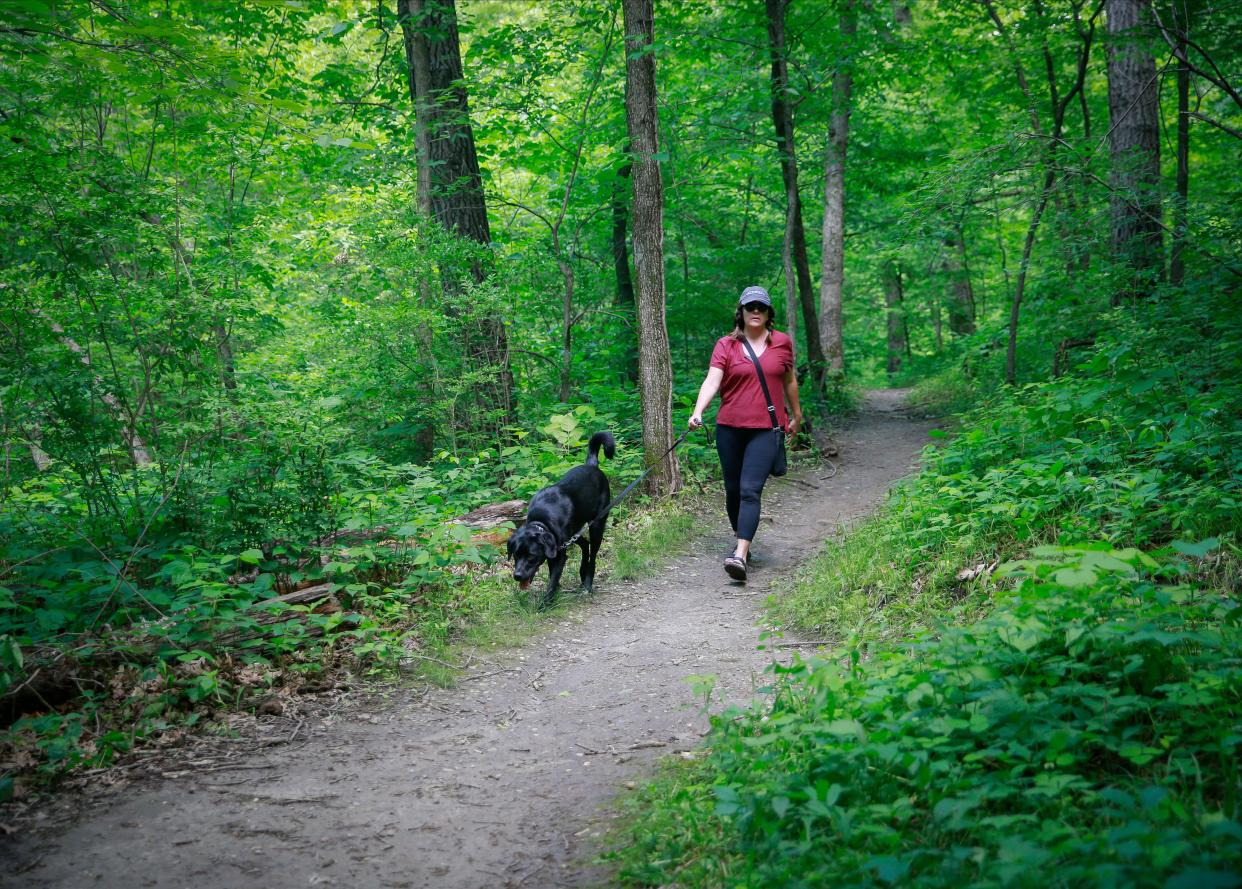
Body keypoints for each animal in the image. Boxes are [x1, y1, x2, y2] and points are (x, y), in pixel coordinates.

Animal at [509, 432, 616, 610]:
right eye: (516, 555)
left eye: (531, 556)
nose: (517, 575)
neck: (541, 521)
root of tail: (592, 466)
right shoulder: (556, 547)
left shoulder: (558, 555)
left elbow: (552, 580)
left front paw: (545, 603)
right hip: (572, 534)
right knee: (585, 544)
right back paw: (582, 573)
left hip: (597, 525)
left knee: (593, 554)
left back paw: (588, 584)